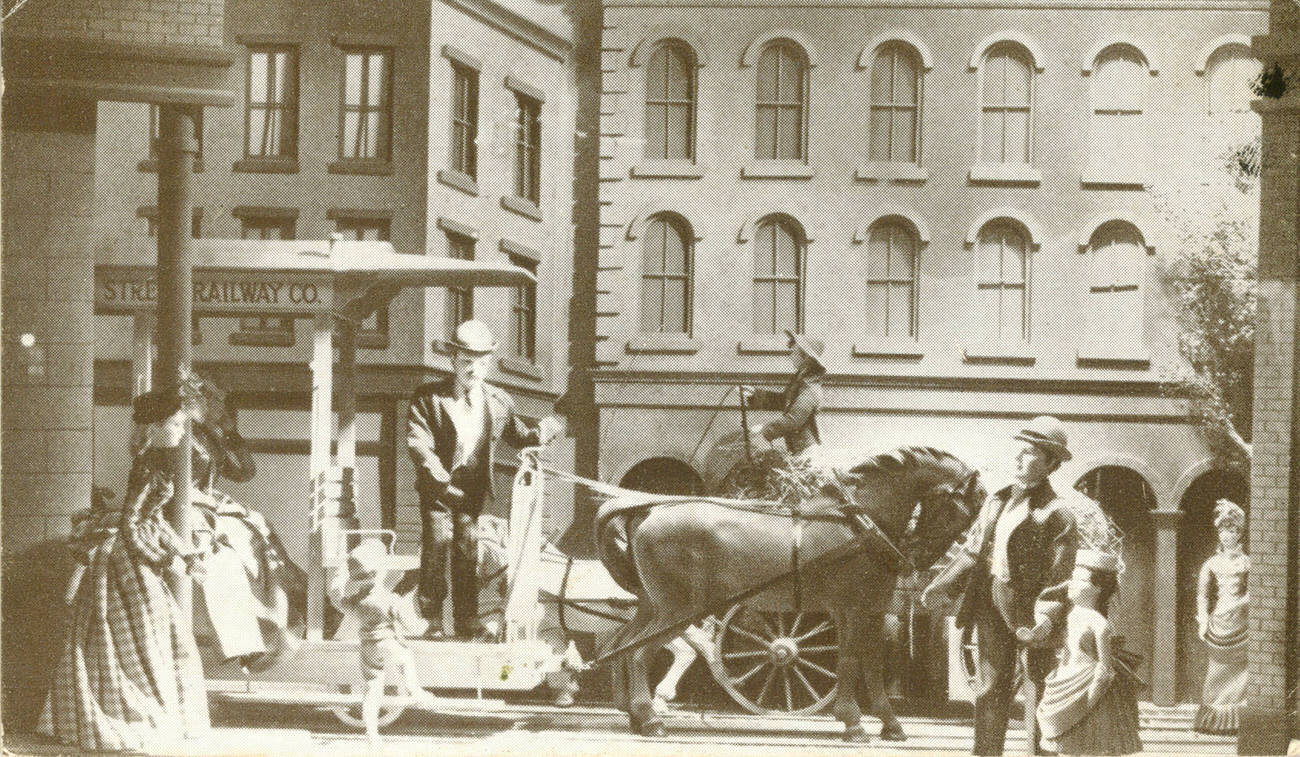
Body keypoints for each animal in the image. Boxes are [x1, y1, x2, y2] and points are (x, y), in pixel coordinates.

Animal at [595, 447, 977, 743]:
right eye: (959, 511)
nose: (920, 555)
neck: (858, 524)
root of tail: (647, 510)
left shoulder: (872, 609)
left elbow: (871, 664)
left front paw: (890, 724)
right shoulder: (850, 609)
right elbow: (849, 661)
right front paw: (852, 722)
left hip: (653, 606)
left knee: (621, 645)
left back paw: (634, 714)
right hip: (677, 610)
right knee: (639, 654)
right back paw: (649, 719)